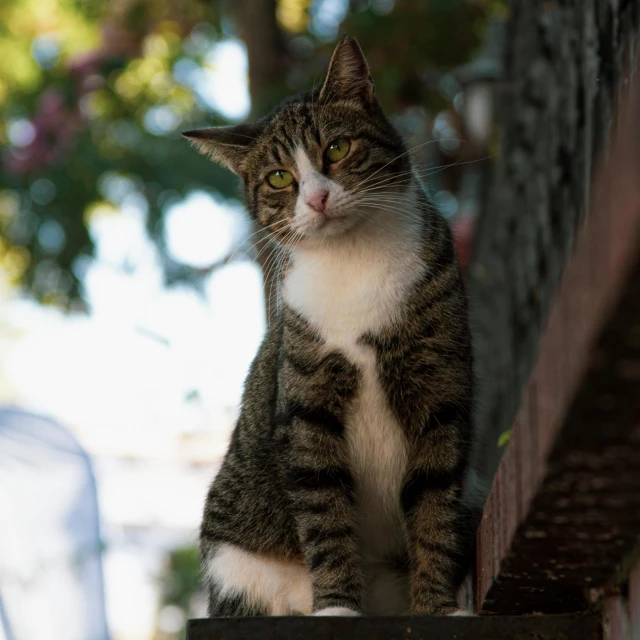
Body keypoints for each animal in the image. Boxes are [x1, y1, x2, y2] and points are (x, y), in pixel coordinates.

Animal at [182, 36, 482, 620]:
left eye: (338, 149)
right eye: (280, 177)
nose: (317, 198)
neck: (354, 263)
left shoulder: (440, 389)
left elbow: (434, 507)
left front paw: (437, 607)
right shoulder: (308, 405)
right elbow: (324, 510)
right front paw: (338, 609)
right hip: (236, 560)